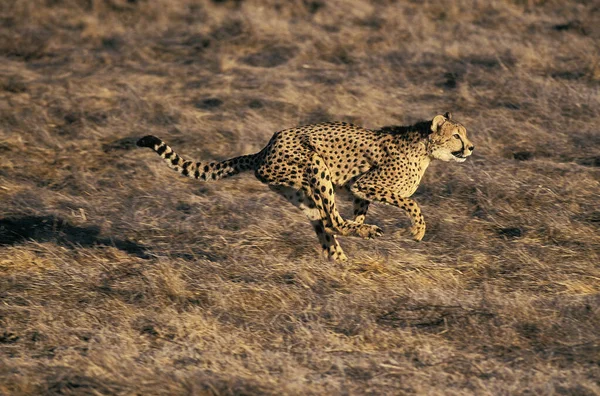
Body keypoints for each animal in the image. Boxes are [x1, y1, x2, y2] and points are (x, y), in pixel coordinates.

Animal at [136, 111, 474, 262]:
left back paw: (342, 261)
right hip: (316, 166)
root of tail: (266, 147)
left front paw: (362, 226)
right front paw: (417, 231)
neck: (426, 149)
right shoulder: (367, 183)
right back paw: (355, 246)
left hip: (300, 192)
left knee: (325, 223)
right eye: (457, 135)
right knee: (332, 221)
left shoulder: (358, 191)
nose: (471, 147)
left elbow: (357, 213)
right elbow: (411, 203)